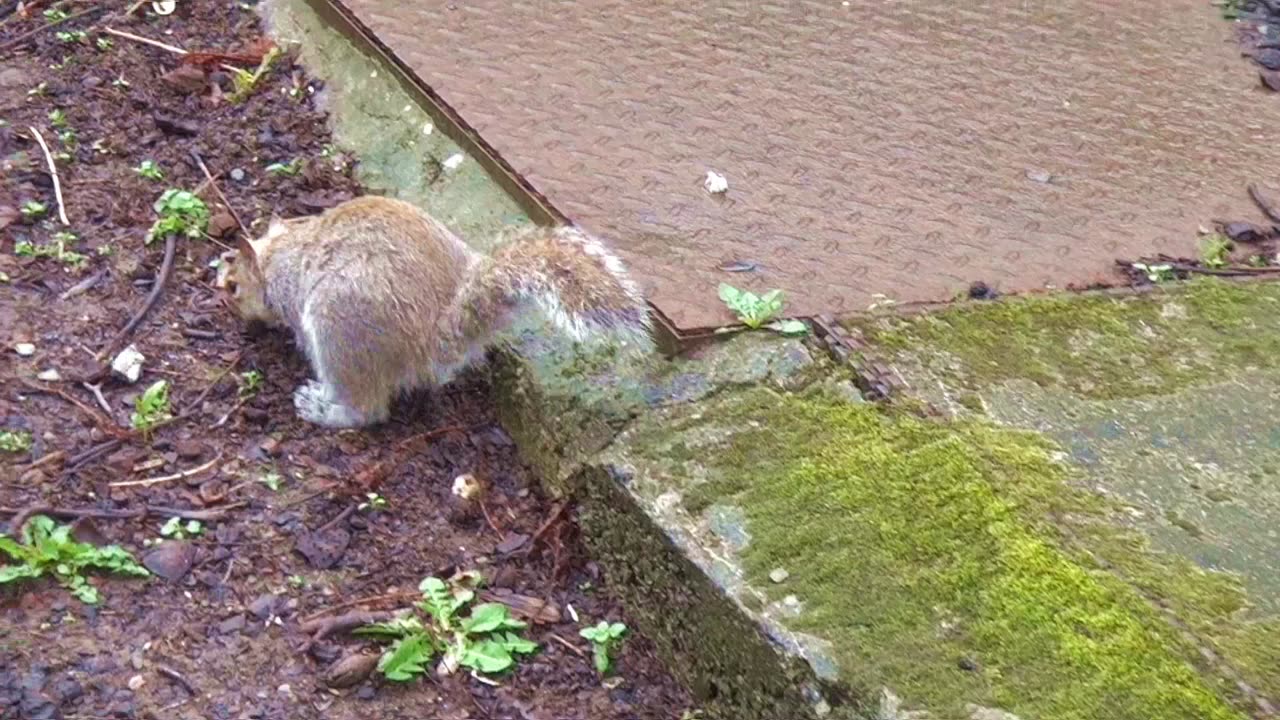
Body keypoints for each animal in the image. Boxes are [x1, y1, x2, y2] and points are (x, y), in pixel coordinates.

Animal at [218, 194, 650, 425]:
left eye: (233, 286)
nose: (236, 318)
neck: (280, 253)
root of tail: (432, 337)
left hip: (338, 327)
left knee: (367, 408)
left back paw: (323, 407)